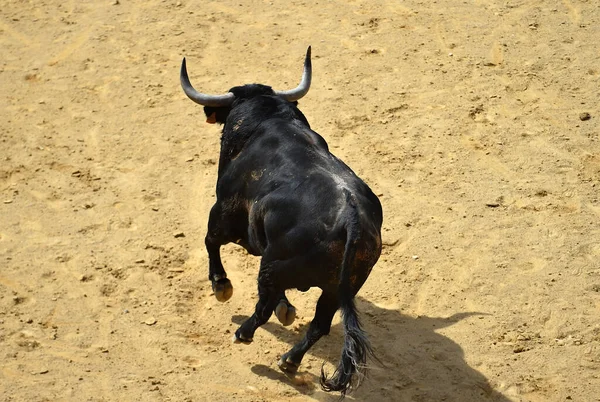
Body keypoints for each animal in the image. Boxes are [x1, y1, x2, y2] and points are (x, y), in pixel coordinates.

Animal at [180, 48, 382, 396]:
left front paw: (221, 285)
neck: (268, 119)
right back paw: (289, 360)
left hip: (272, 265)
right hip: (339, 287)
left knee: (263, 304)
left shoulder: (224, 211)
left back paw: (244, 334)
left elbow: (210, 240)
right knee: (319, 324)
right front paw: (286, 311)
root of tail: (351, 217)